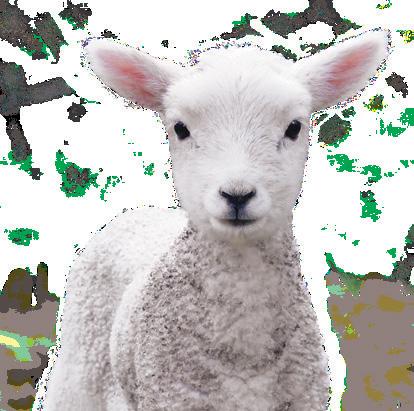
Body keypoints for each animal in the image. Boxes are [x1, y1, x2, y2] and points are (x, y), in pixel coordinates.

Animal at [38, 29, 389, 411]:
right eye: (180, 128)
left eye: (294, 127)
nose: (237, 195)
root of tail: (140, 212)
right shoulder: (170, 394)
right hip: (81, 365)